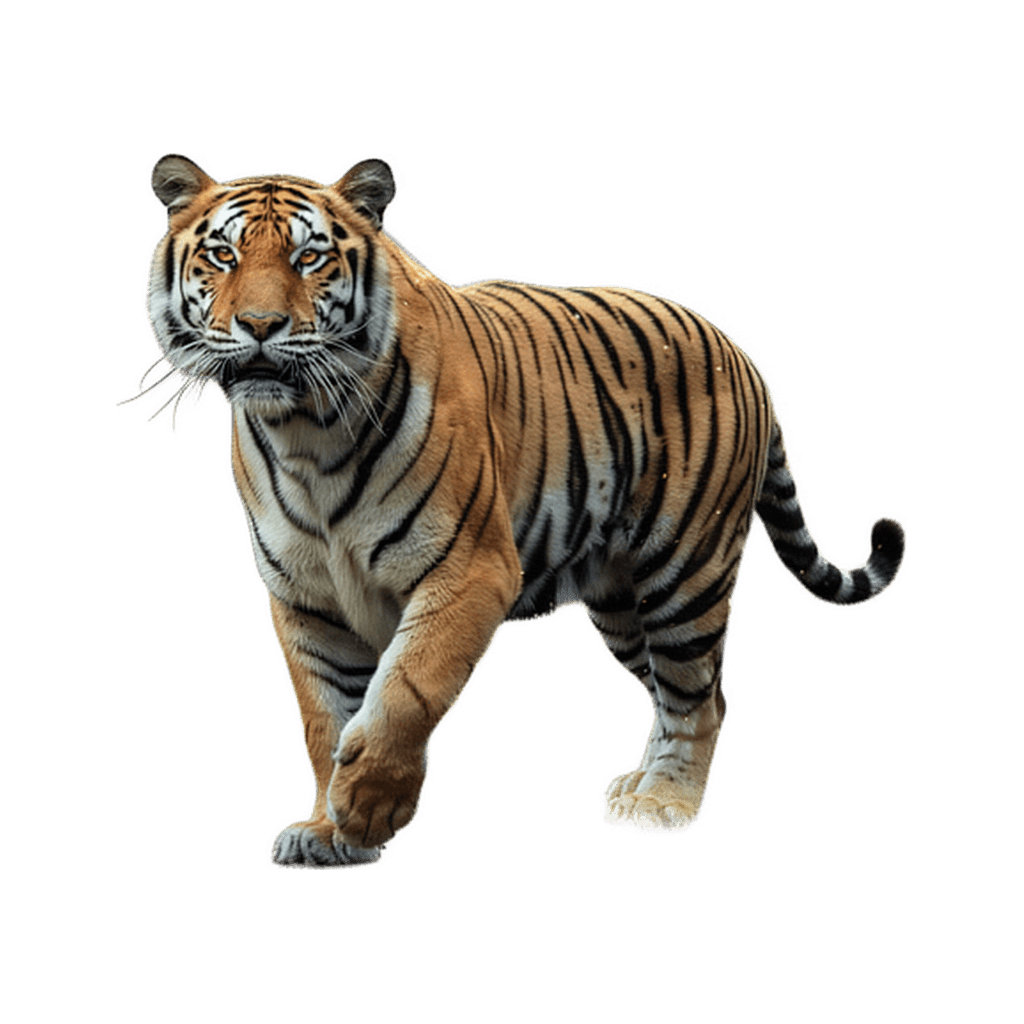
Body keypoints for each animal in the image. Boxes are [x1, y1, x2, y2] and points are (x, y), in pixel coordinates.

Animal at [128, 153, 906, 867]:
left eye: (309, 257)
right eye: (223, 255)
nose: (260, 325)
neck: (305, 434)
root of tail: (741, 354)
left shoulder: (468, 570)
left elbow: (405, 689)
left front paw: (368, 807)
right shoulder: (306, 601)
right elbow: (325, 718)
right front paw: (326, 828)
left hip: (686, 574)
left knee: (696, 698)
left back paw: (664, 801)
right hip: (619, 601)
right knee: (678, 690)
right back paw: (639, 786)